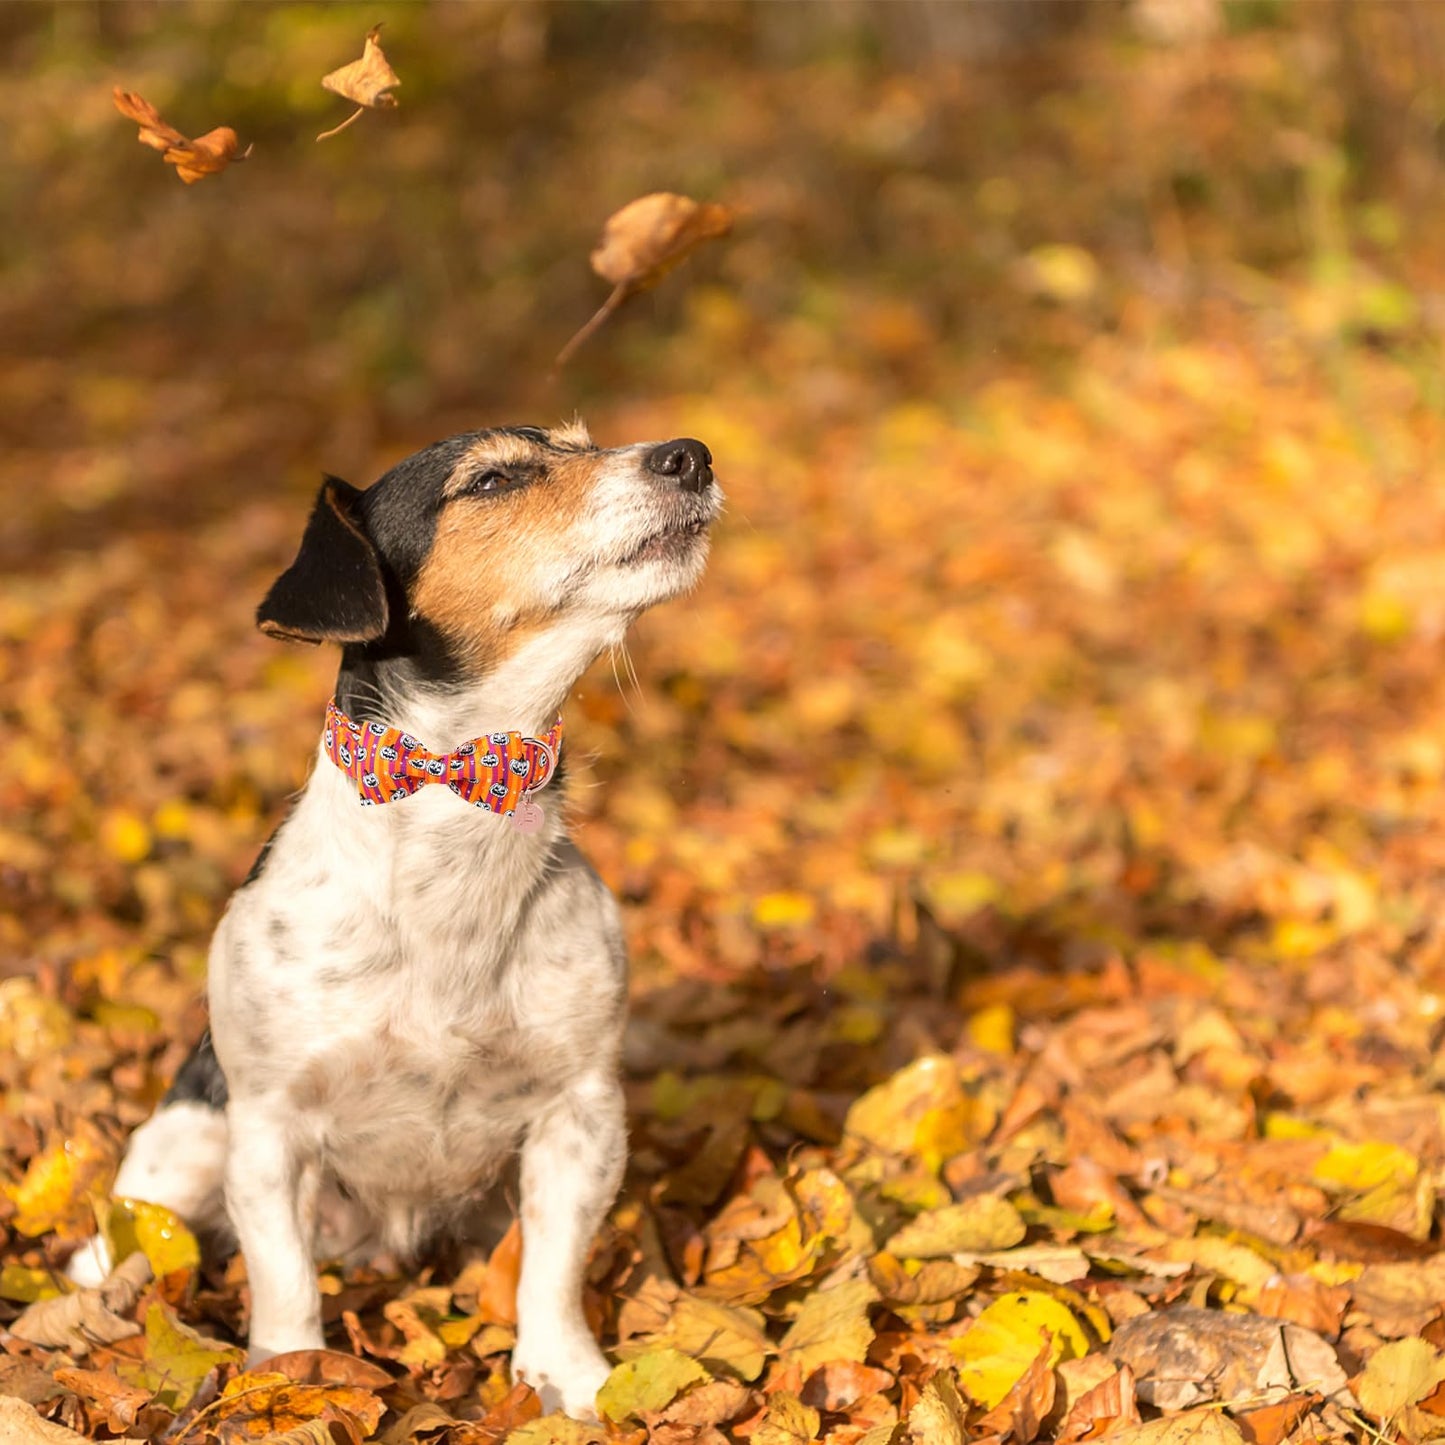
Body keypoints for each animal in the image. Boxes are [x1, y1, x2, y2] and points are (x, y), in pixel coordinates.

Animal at [68, 419, 722, 1410]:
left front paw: (564, 1376)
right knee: (131, 1236)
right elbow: (285, 1284)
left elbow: (551, 1268)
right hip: (180, 1147)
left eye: (584, 441)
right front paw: (291, 1383)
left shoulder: (580, 1114)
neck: (457, 824)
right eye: (491, 479)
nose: (691, 453)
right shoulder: (269, 1133)